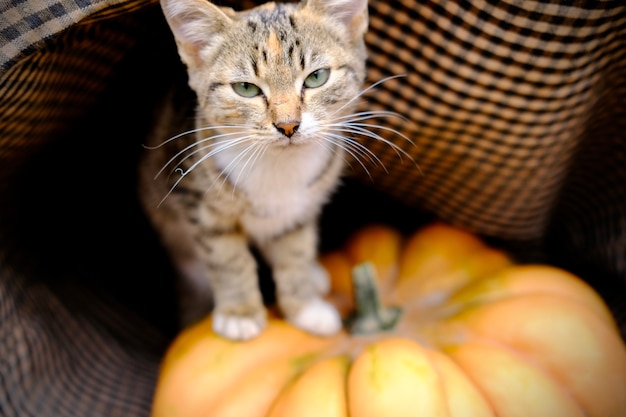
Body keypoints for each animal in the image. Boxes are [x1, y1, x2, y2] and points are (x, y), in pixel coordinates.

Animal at [140, 0, 372, 340]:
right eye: (246, 88)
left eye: (317, 77)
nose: (288, 125)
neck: (278, 165)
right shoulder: (199, 203)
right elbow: (227, 257)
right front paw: (240, 313)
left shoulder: (298, 210)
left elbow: (295, 251)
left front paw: (305, 308)